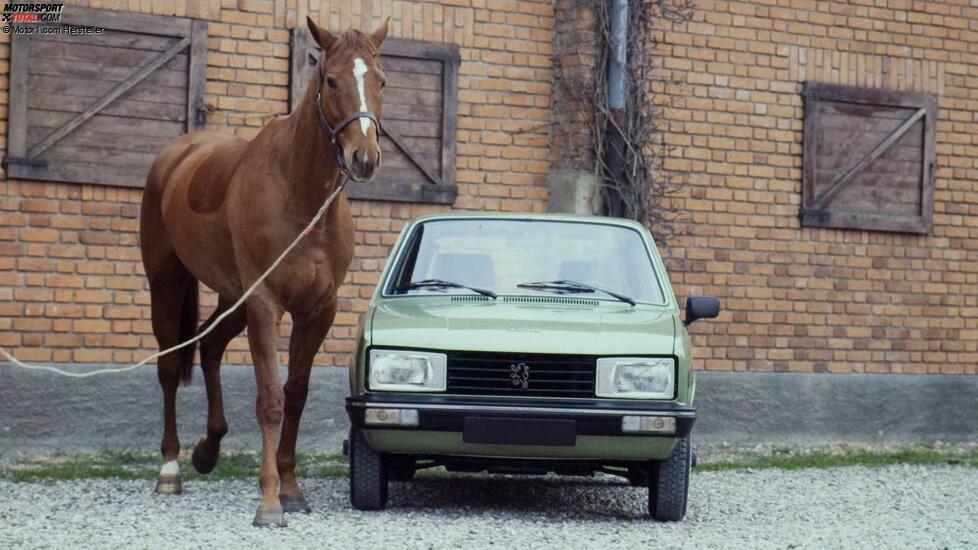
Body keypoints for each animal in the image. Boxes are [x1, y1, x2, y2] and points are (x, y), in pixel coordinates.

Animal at [139, 16, 386, 528]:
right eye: (331, 81)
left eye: (380, 80)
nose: (365, 159)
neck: (299, 193)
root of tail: (177, 155)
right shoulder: (266, 304)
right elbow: (270, 399)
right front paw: (270, 501)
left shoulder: (318, 310)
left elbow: (296, 394)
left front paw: (290, 488)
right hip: (167, 282)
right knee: (170, 365)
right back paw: (171, 468)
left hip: (232, 298)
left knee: (210, 345)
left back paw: (208, 450)